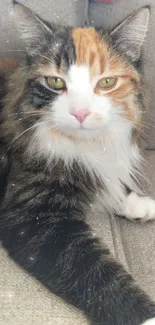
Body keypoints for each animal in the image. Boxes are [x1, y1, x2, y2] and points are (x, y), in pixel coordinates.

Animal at [0, 3, 155, 324]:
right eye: (55, 82)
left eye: (107, 82)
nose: (81, 113)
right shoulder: (36, 218)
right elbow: (96, 272)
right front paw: (147, 316)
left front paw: (134, 203)